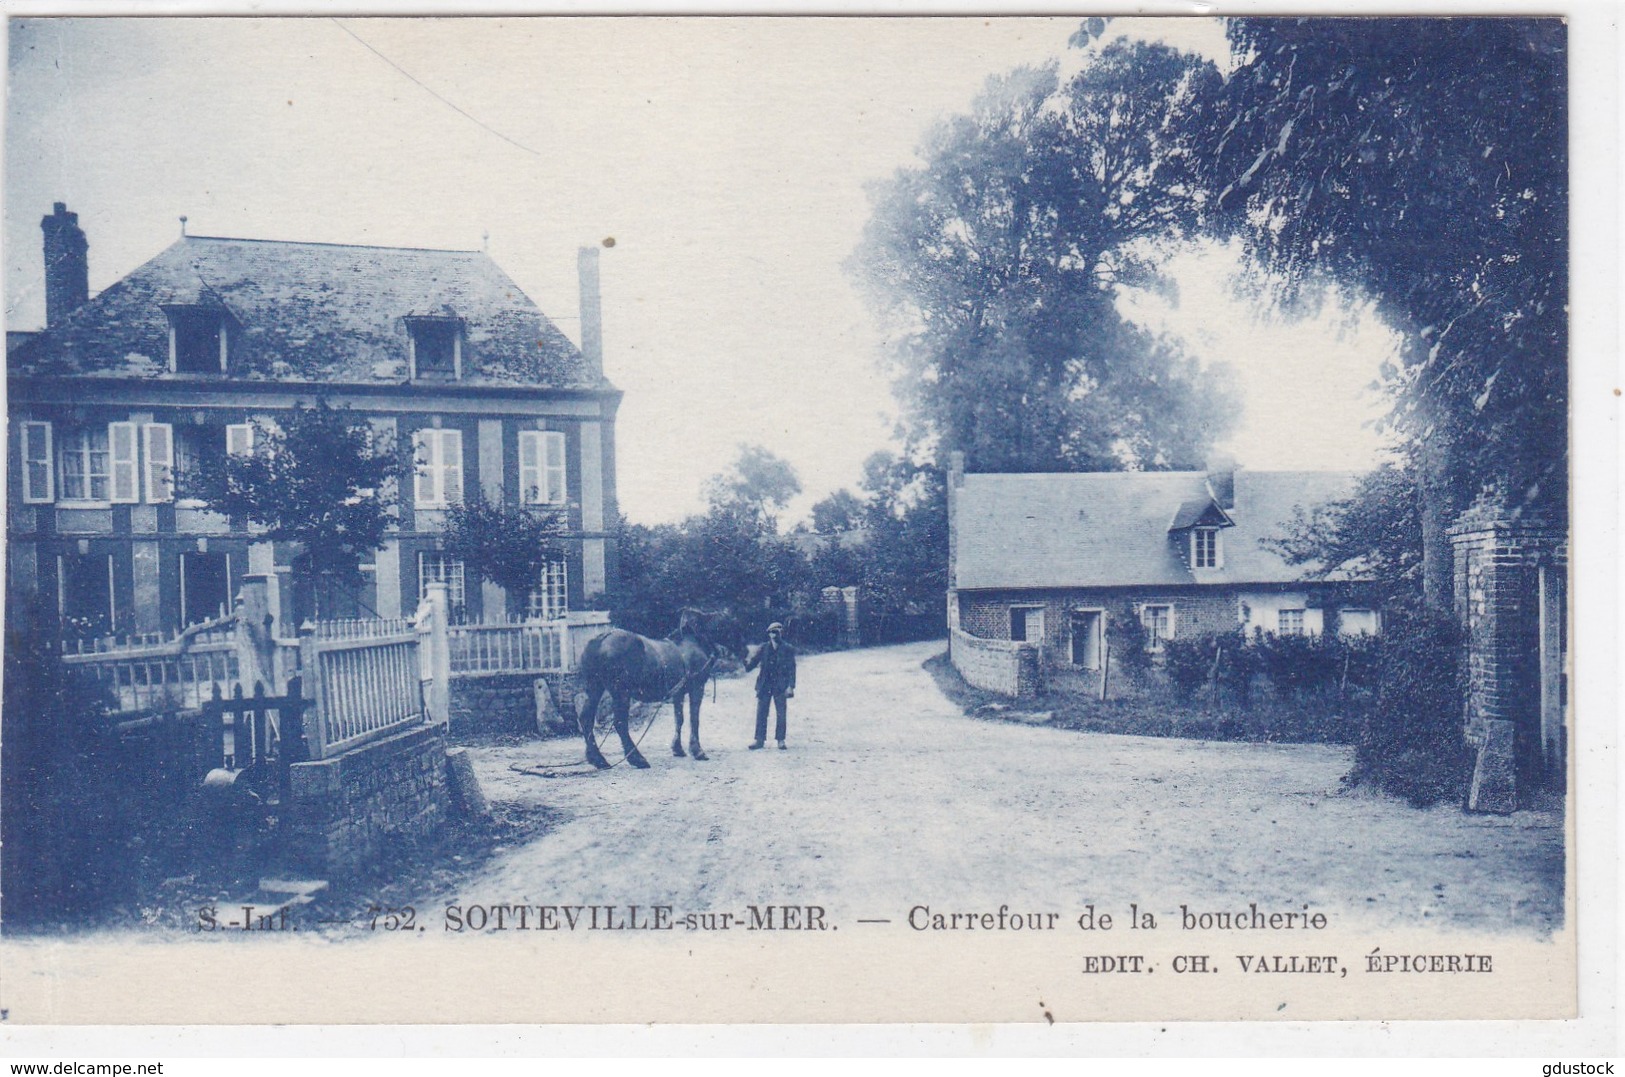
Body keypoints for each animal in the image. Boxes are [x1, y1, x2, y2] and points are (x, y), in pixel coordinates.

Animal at [572, 610, 744, 769]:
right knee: (620, 723)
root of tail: (601, 639)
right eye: (730, 625)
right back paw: (637, 758)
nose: (743, 651)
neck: (695, 642)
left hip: (595, 688)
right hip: (621, 693)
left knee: (586, 718)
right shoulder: (697, 688)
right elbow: (694, 719)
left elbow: (679, 719)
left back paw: (598, 759)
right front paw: (698, 751)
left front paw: (678, 749)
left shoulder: (678, 693)